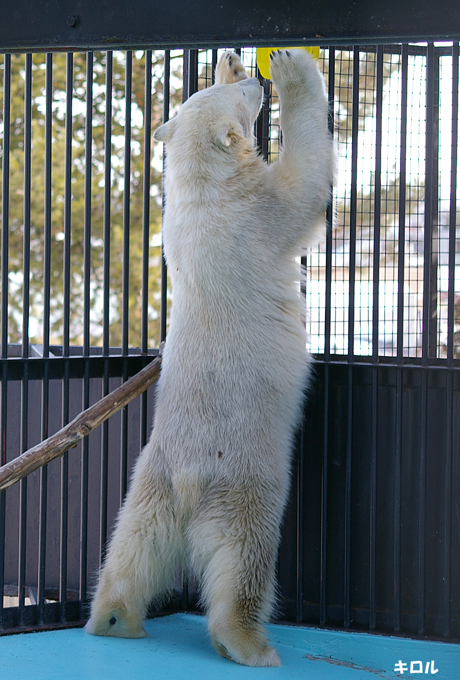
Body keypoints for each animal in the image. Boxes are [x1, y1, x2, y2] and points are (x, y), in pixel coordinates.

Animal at [86, 50, 334, 668]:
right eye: (247, 101)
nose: (252, 80)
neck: (204, 190)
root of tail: (189, 487)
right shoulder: (258, 214)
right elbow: (304, 184)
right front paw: (293, 72)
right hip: (243, 491)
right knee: (243, 564)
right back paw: (251, 645)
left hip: (147, 489)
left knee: (131, 550)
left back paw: (113, 618)